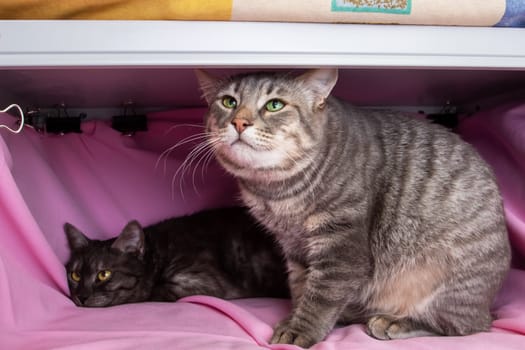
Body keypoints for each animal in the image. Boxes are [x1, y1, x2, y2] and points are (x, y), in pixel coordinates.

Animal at [64, 206, 290, 308]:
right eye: (75, 275)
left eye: (104, 274)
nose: (81, 296)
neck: (161, 253)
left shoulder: (202, 282)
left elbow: (152, 292)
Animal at [194, 68, 510, 348]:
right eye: (228, 101)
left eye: (274, 105)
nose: (239, 122)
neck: (275, 192)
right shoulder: (294, 248)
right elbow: (300, 288)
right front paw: (295, 316)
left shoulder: (340, 245)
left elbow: (321, 296)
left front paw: (300, 330)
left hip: (450, 283)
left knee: (464, 326)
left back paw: (394, 322)